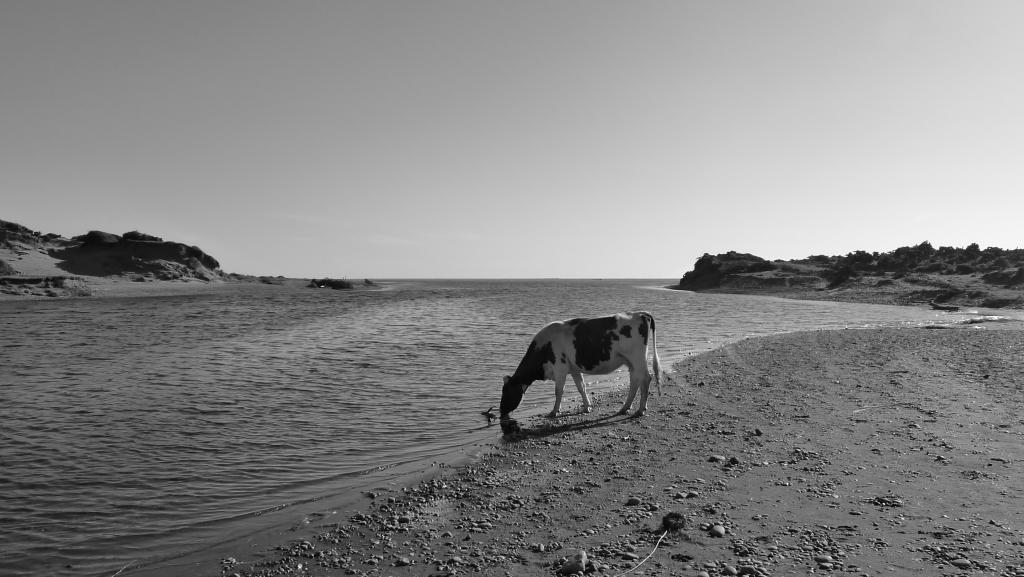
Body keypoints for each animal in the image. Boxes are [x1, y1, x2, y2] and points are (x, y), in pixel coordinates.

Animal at [497, 311, 659, 424]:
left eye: (506, 391)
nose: (501, 411)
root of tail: (640, 313)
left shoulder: (560, 368)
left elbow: (558, 391)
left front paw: (554, 412)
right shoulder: (574, 369)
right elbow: (581, 387)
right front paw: (587, 407)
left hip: (637, 358)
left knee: (646, 378)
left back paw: (640, 410)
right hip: (631, 361)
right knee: (635, 381)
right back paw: (625, 408)